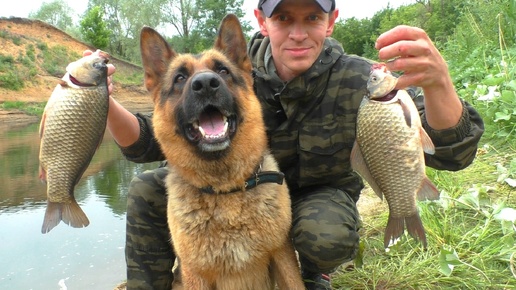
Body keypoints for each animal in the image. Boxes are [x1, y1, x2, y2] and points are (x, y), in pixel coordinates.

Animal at [139, 14, 304, 290]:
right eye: (180, 78)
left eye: (223, 71)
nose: (206, 84)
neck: (225, 189)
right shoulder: (196, 274)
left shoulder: (281, 253)